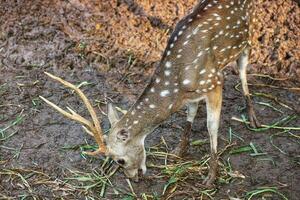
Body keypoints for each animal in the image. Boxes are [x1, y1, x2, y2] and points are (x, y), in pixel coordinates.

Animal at [40, 0, 260, 187]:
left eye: (120, 160)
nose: (134, 178)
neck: (177, 82)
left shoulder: (214, 81)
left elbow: (211, 127)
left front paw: (211, 177)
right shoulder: (192, 94)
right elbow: (190, 114)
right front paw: (178, 152)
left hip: (246, 38)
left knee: (243, 69)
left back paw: (253, 117)